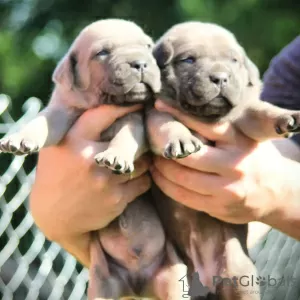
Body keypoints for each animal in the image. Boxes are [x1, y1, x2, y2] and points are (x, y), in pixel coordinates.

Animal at [0, 19, 186, 300]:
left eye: (147, 47)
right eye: (102, 53)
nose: (140, 64)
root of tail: (139, 284)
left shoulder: (134, 121)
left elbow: (125, 137)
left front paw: (115, 155)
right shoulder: (62, 110)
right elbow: (42, 122)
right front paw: (21, 137)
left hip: (173, 281)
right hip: (101, 283)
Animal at [146, 21, 300, 300]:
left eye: (234, 61)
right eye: (188, 60)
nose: (220, 77)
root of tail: (204, 279)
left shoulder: (243, 115)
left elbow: (261, 111)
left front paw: (285, 116)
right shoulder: (155, 113)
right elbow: (167, 124)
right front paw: (181, 139)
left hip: (240, 276)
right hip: (172, 276)